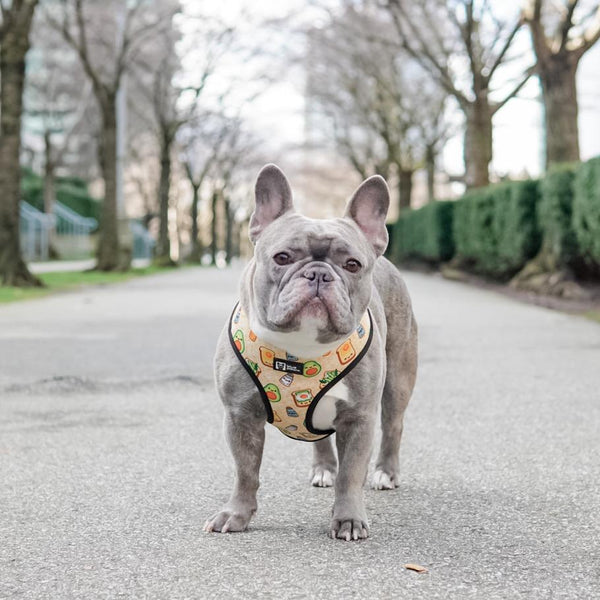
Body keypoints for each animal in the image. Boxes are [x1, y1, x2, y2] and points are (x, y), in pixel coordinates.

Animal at [206, 165, 418, 544]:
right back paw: (323, 469)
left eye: (352, 265)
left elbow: (351, 474)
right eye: (282, 258)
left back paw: (385, 473)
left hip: (398, 379)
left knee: (393, 425)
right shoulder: (239, 415)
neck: (301, 352)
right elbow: (246, 471)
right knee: (319, 437)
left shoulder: (359, 418)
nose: (318, 273)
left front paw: (348, 519)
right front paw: (236, 514)